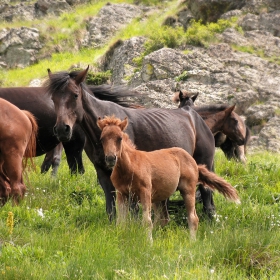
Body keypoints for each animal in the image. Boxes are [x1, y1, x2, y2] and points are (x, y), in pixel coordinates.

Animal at [44, 66, 221, 221]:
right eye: (53, 98)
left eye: (75, 95)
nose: (62, 129)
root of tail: (192, 114)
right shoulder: (103, 172)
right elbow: (111, 208)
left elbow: (134, 210)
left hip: (203, 162)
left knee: (206, 196)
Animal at [97, 115, 240, 240]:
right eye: (102, 139)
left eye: (119, 138)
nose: (110, 158)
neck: (129, 166)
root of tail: (194, 163)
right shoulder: (121, 194)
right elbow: (120, 223)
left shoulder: (145, 192)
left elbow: (147, 221)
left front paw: (149, 244)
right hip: (159, 197)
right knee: (163, 219)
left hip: (188, 190)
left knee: (192, 218)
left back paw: (192, 242)